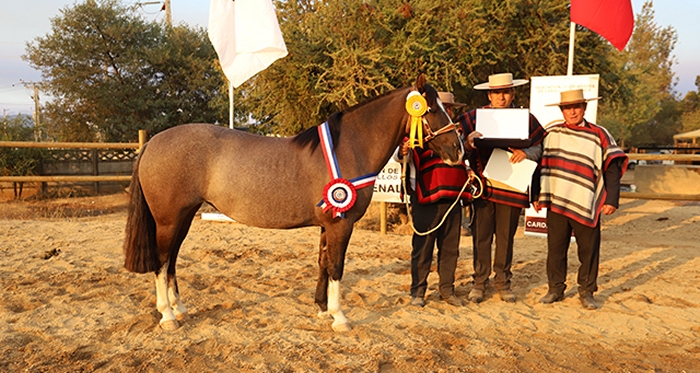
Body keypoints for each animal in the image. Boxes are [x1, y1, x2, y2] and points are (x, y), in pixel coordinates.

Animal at [123, 73, 464, 332]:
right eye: (430, 110)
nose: (458, 151)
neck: (348, 148)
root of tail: (153, 141)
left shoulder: (328, 224)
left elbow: (324, 263)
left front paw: (323, 309)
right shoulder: (340, 225)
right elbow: (337, 266)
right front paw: (340, 318)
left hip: (183, 218)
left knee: (171, 261)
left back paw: (179, 308)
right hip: (168, 220)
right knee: (162, 261)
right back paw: (167, 316)